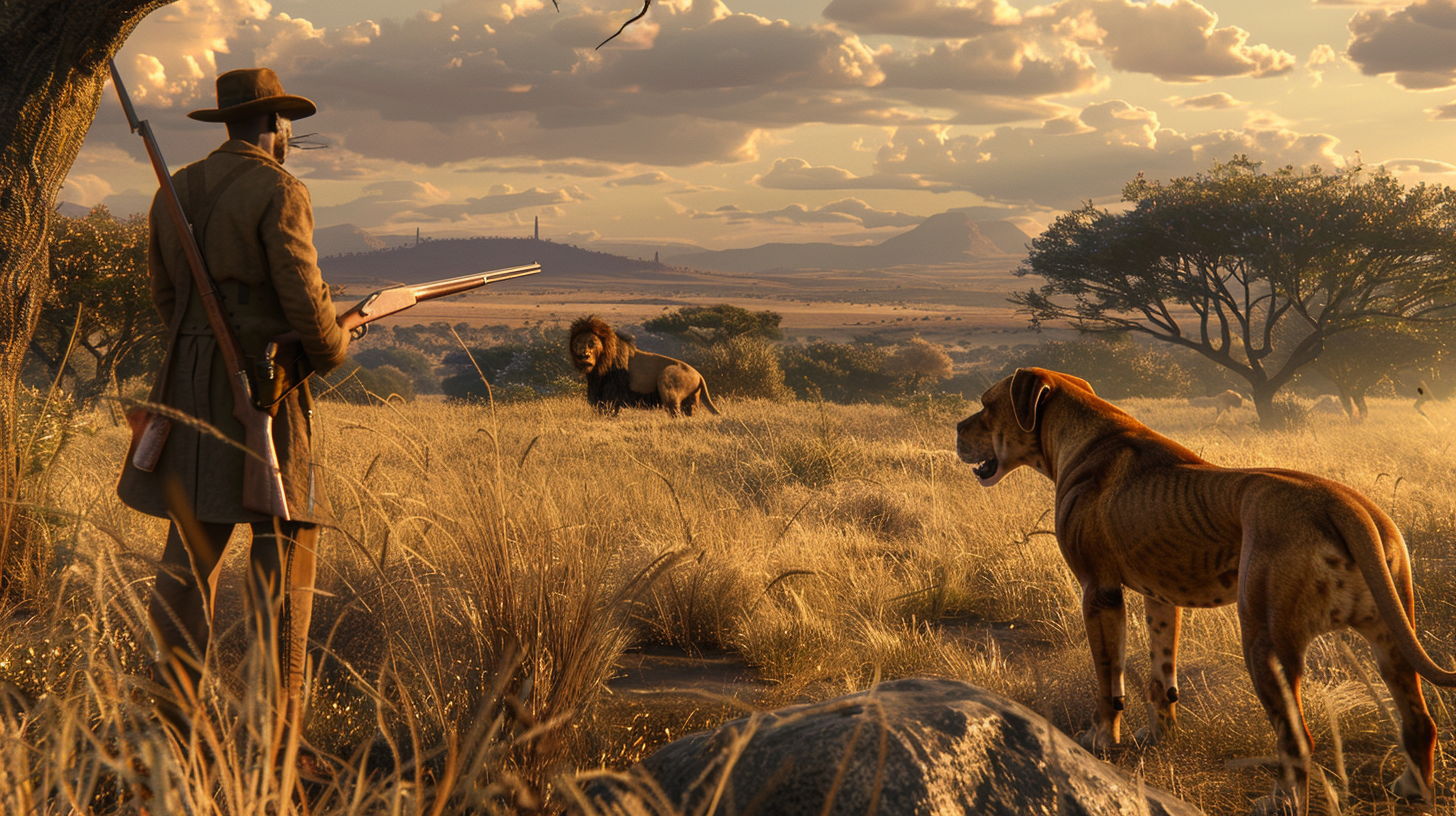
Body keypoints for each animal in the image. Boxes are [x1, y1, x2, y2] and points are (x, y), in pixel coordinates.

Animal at [569, 315, 721, 416]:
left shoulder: (610, 396)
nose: (584, 355)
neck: (599, 367)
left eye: (592, 344)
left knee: (675, 411)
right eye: (578, 344)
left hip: (668, 380)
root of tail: (699, 375)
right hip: (691, 401)